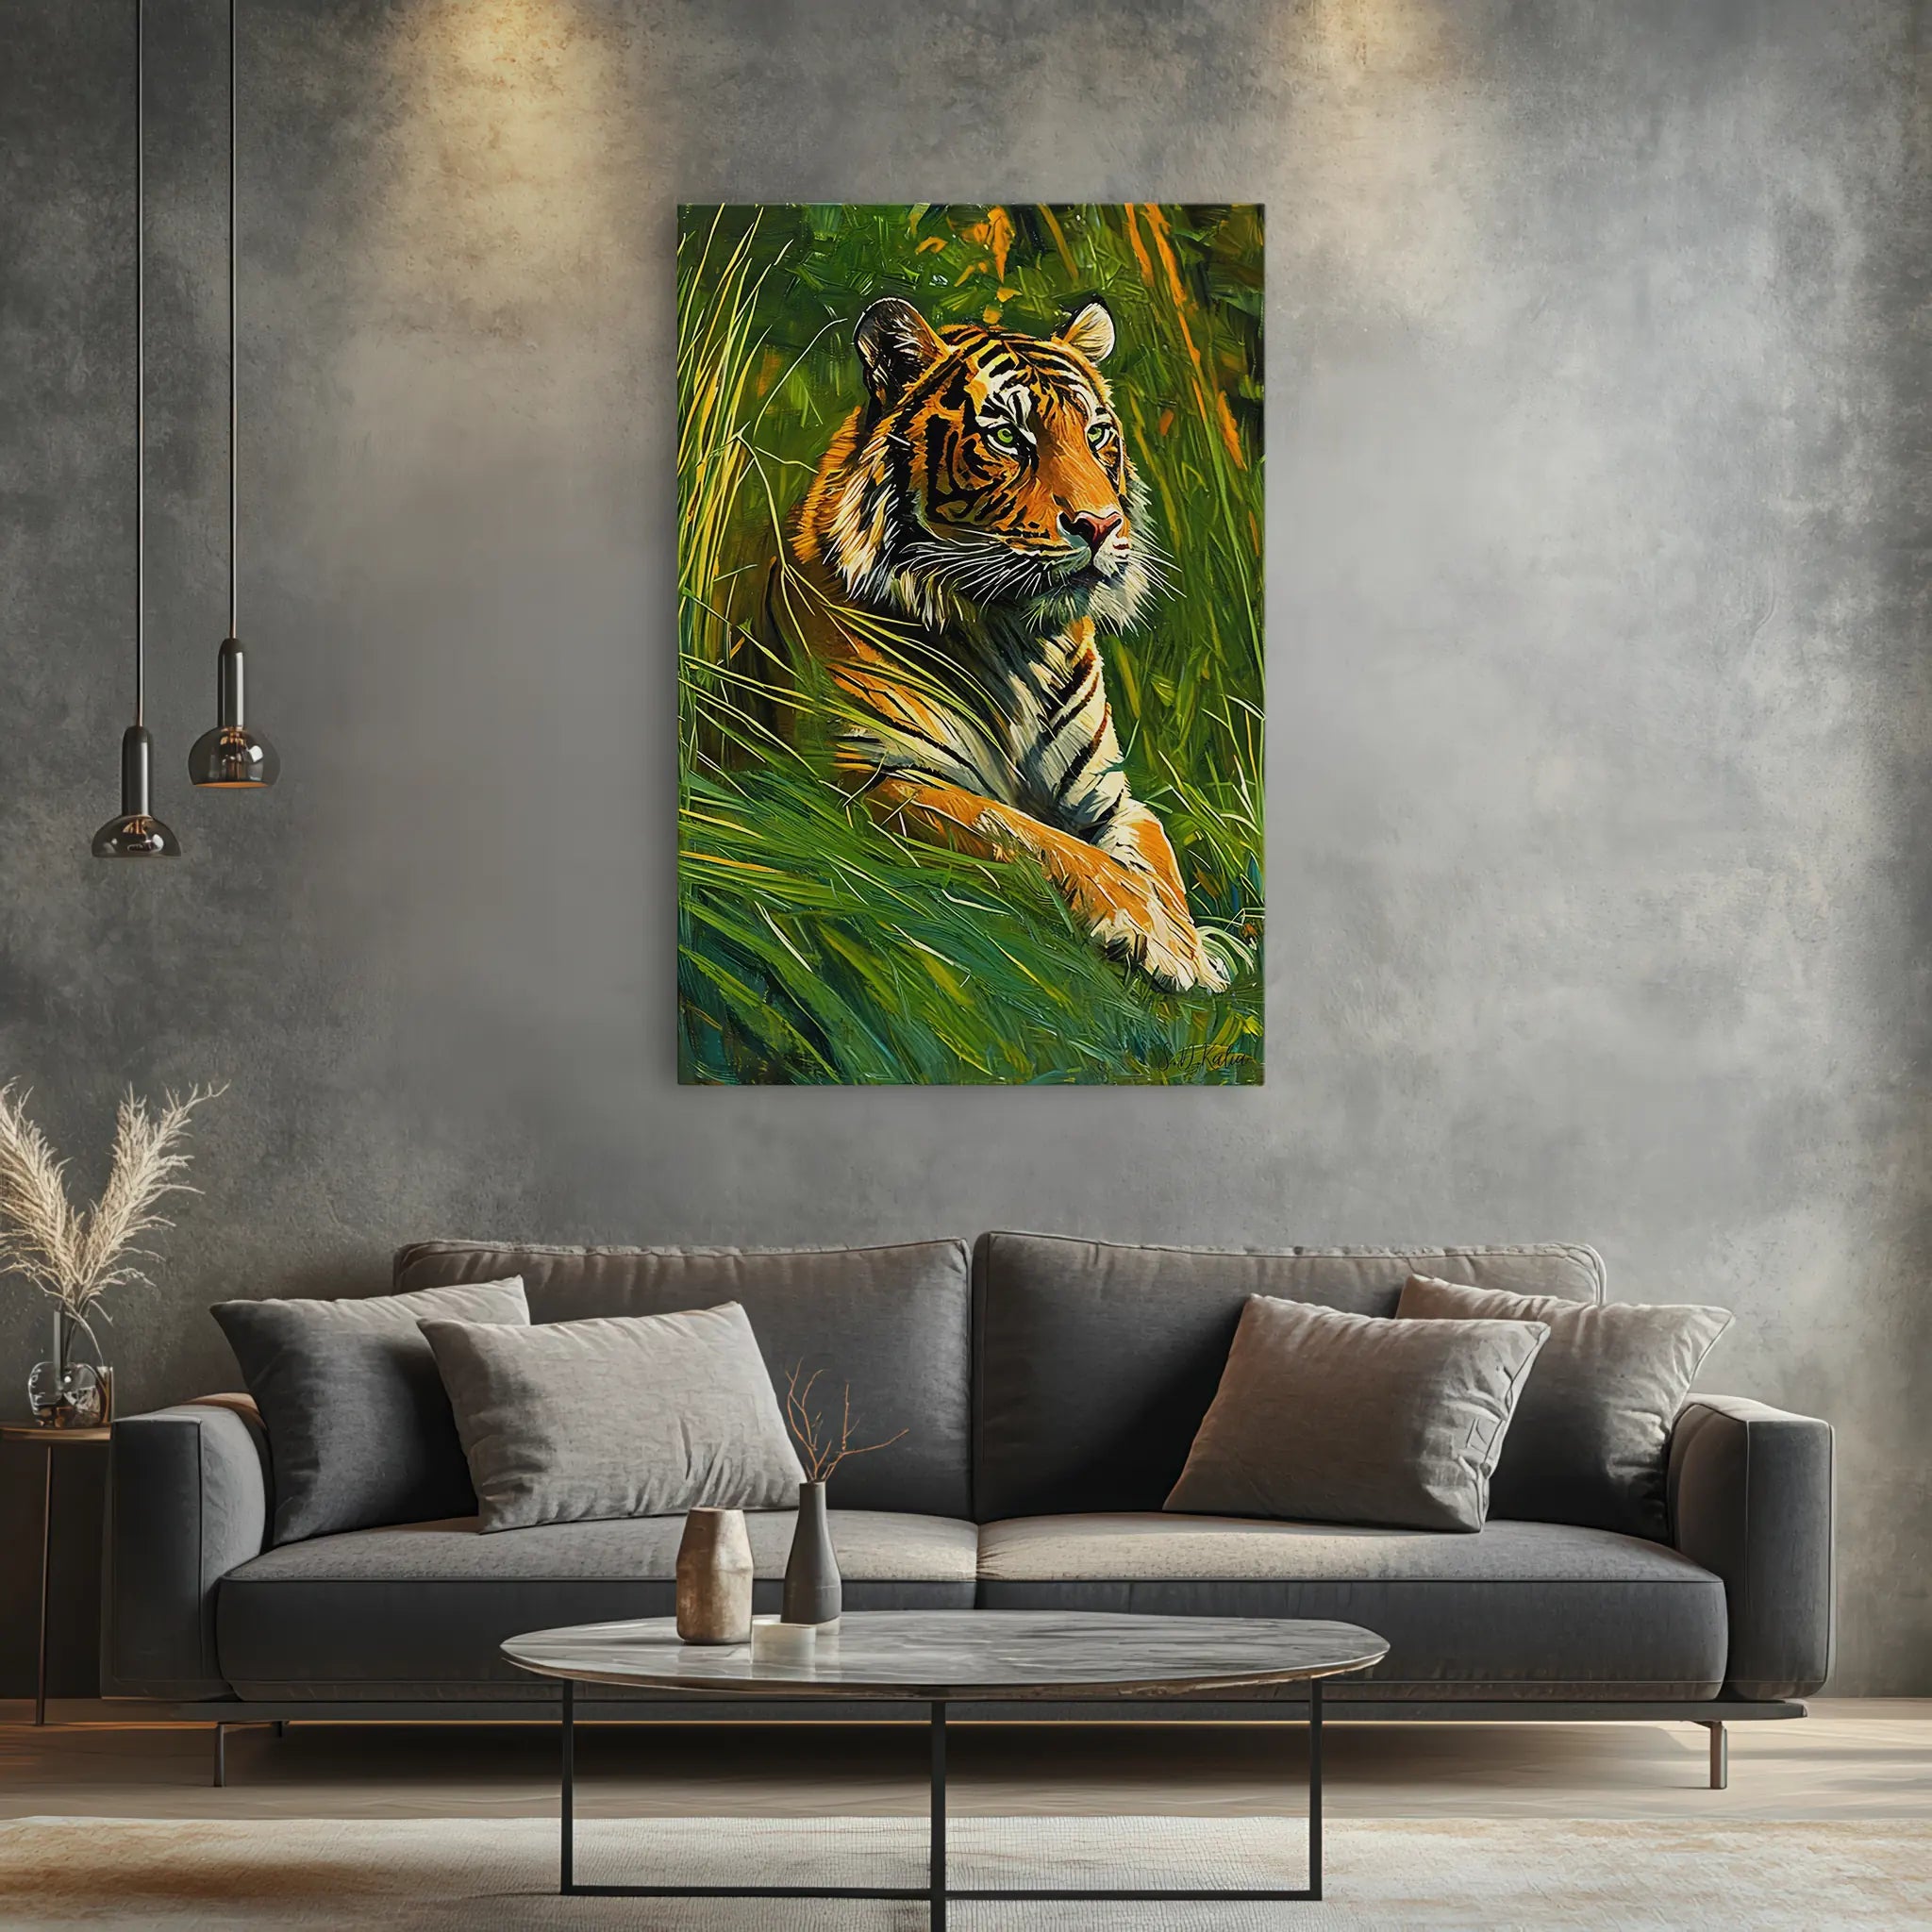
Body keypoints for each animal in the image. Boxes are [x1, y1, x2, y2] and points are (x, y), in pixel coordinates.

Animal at [767, 294, 1229, 994]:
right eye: (1009, 436)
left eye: (1098, 435)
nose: (1102, 525)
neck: (1015, 638)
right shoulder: (872, 776)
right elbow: (1028, 834)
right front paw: (1158, 938)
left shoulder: (1111, 798)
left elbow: (1157, 858)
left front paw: (1193, 943)